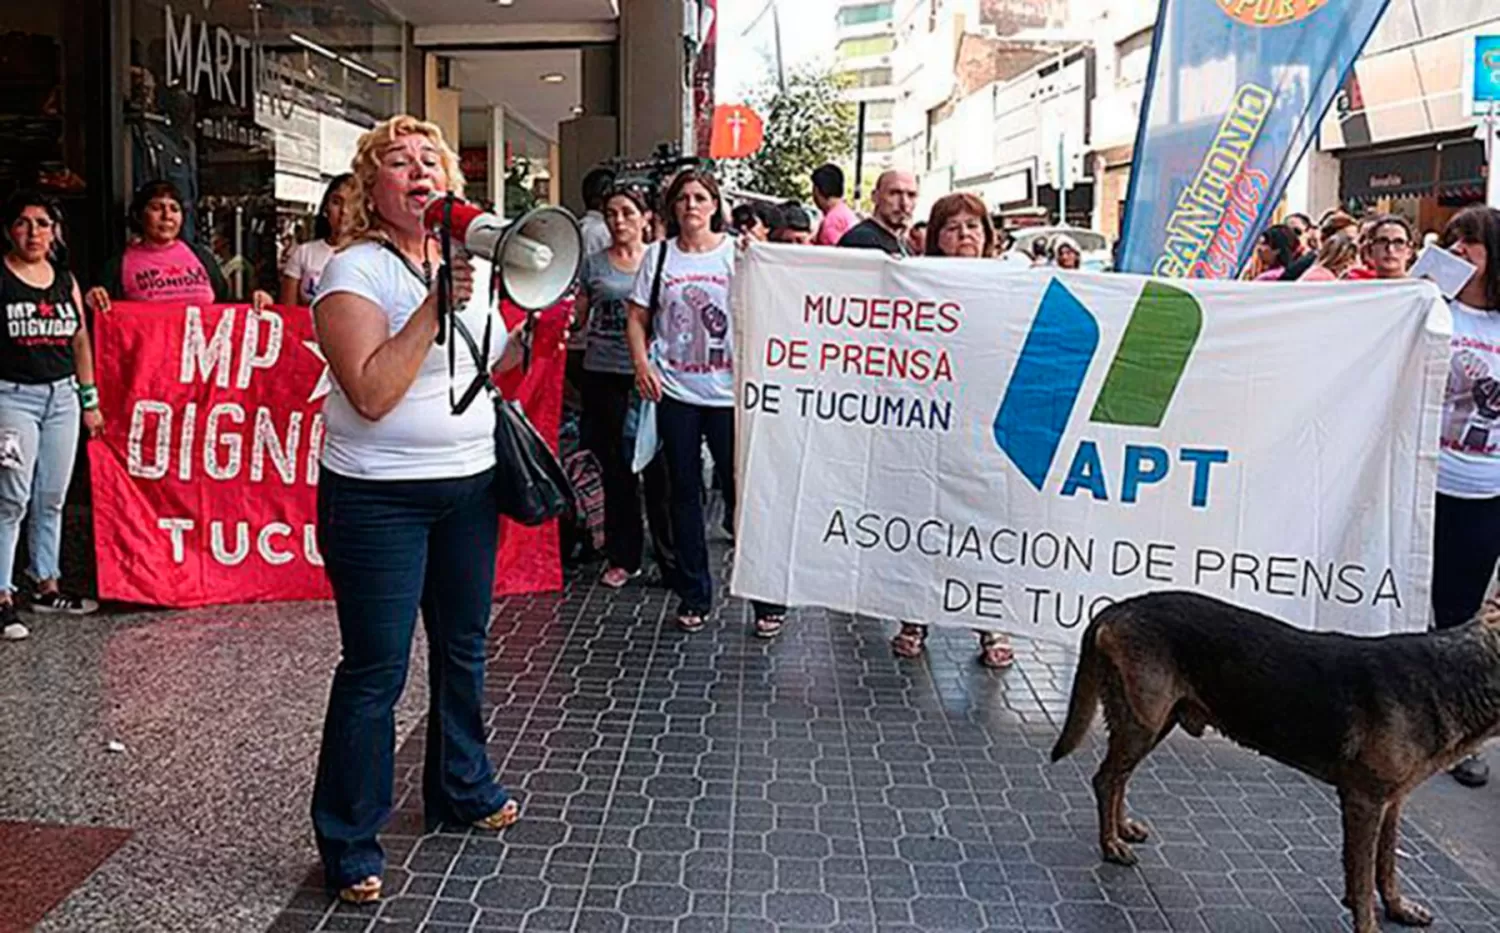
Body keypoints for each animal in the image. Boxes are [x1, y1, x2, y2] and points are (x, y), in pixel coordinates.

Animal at [1056, 591, 1500, 933]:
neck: (1456, 677)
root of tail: (1117, 608)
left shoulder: (1392, 802)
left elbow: (1386, 865)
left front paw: (1398, 907)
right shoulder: (1364, 801)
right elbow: (1361, 879)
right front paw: (1369, 923)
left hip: (1154, 719)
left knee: (1119, 779)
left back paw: (1122, 829)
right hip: (1144, 720)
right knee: (1105, 779)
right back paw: (1111, 844)